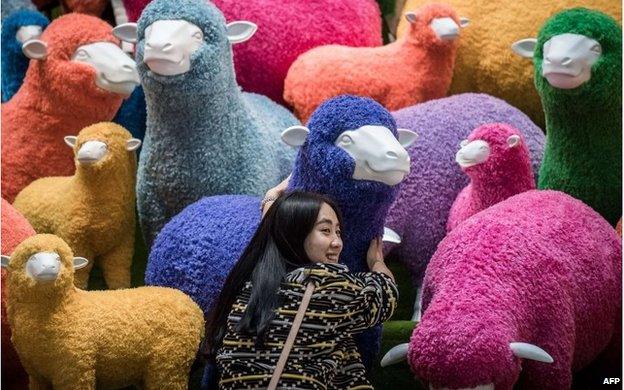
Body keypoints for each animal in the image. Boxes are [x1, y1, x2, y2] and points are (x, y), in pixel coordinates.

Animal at [1, 235, 204, 390]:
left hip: (170, 362)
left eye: (58, 258)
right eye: (32, 258)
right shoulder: (36, 375)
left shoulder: (75, 369)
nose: (49, 268)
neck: (68, 308)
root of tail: (195, 308)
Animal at [13, 122, 141, 290]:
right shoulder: (76, 240)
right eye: (80, 144)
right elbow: (80, 272)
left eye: (105, 145)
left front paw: (121, 290)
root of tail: (33, 184)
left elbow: (118, 271)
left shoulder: (122, 244)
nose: (84, 153)